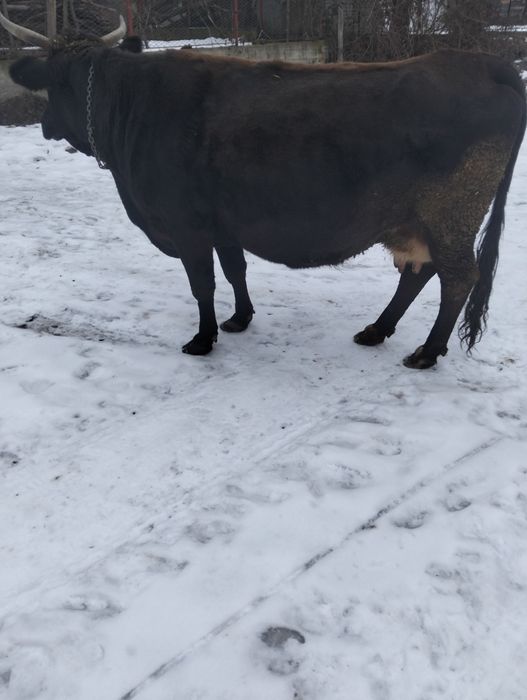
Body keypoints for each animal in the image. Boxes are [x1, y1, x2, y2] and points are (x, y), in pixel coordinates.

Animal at [1, 13, 525, 369]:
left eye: (54, 86)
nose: (45, 125)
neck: (132, 106)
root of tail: (482, 63)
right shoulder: (222, 222)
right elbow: (236, 269)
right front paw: (240, 319)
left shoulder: (186, 224)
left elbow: (202, 283)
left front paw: (203, 339)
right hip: (415, 220)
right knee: (418, 272)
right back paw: (378, 330)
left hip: (452, 212)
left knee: (457, 277)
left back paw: (426, 352)